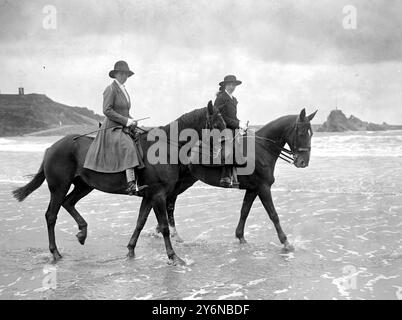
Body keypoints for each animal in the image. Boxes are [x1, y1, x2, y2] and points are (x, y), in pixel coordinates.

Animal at [11, 102, 226, 264]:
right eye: (217, 123)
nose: (226, 150)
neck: (164, 148)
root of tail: (51, 147)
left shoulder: (149, 196)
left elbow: (140, 222)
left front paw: (130, 250)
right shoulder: (158, 196)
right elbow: (164, 226)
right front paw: (173, 257)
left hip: (84, 186)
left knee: (68, 203)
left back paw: (82, 233)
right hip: (59, 187)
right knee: (51, 215)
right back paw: (55, 252)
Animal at [157, 109, 318, 251]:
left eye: (311, 133)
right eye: (301, 132)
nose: (303, 162)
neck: (260, 150)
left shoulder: (253, 189)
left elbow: (244, 211)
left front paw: (240, 237)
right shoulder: (263, 187)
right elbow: (273, 214)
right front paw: (285, 242)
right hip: (181, 182)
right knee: (170, 202)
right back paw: (171, 233)